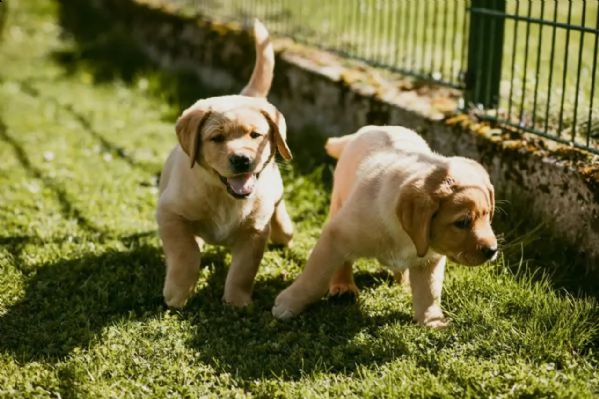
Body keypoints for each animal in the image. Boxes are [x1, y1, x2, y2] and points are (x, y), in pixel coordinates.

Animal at [156, 19, 294, 310]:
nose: (242, 159)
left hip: (273, 189)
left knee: (278, 206)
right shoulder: (170, 213)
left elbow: (243, 270)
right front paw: (177, 292)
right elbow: (186, 253)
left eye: (255, 135)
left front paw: (236, 301)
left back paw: (284, 228)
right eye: (217, 138)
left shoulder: (254, 232)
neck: (224, 196)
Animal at [272, 125, 496, 328]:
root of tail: (370, 128)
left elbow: (429, 291)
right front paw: (289, 303)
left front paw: (432, 320)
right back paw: (343, 285)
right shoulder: (337, 234)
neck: (406, 237)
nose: (493, 250)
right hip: (338, 205)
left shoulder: (430, 258)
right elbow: (314, 278)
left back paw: (404, 283)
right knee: (342, 260)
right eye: (462, 223)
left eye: (487, 215)